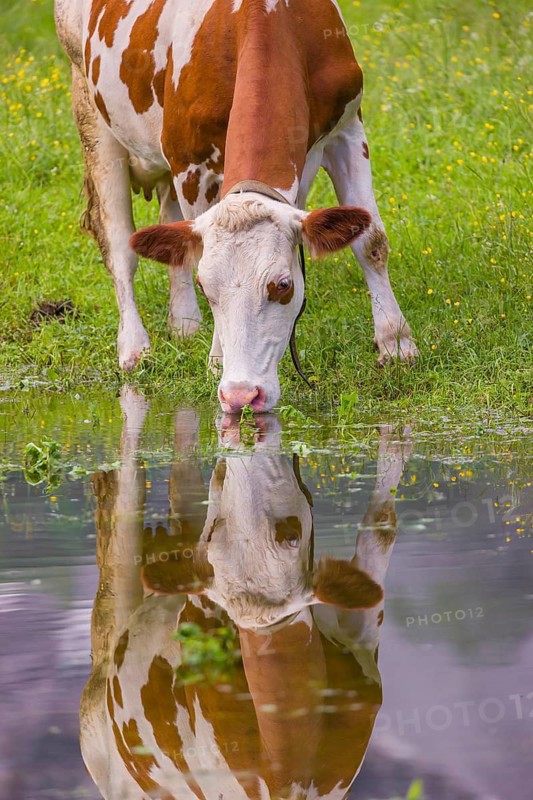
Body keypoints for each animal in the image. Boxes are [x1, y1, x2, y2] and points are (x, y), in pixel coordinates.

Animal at [55, 0, 418, 412]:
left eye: (283, 285)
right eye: (206, 287)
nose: (241, 393)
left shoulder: (347, 131)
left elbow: (370, 242)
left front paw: (395, 342)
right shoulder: (191, 166)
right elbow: (192, 254)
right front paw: (216, 360)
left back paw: (184, 323)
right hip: (93, 119)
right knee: (120, 249)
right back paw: (134, 347)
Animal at [81, 388, 411, 799]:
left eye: (291, 534)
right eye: (215, 532)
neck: (289, 774)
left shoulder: (358, 632)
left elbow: (382, 526)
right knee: (126, 500)